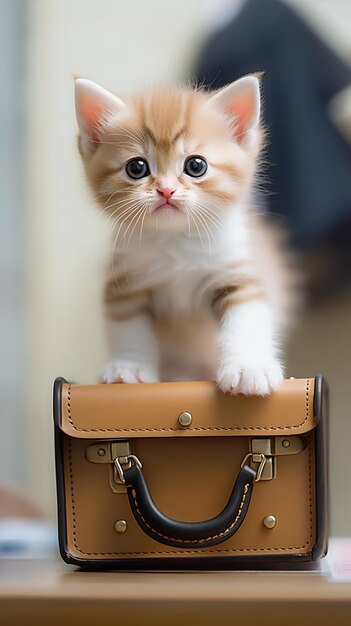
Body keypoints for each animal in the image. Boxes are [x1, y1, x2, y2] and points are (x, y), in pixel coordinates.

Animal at [75, 75, 286, 392]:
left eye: (196, 165)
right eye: (136, 167)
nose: (166, 190)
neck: (175, 239)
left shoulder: (236, 272)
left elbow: (246, 318)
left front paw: (247, 367)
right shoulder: (124, 282)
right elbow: (127, 327)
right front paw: (129, 367)